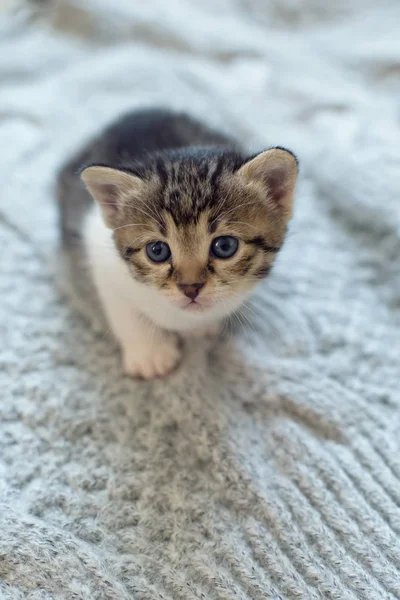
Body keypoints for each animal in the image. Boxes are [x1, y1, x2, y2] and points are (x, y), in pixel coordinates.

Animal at [57, 108, 298, 378]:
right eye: (157, 251)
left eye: (225, 246)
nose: (190, 288)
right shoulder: (97, 250)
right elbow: (122, 309)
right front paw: (149, 352)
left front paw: (201, 327)